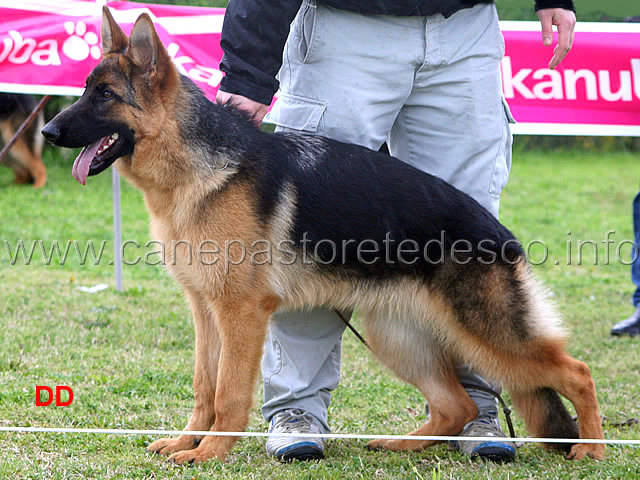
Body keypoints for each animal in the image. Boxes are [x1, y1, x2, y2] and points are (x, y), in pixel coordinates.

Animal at [41, 7, 604, 464]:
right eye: (86, 90)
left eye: (105, 96)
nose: (47, 132)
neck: (196, 168)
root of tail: (499, 232)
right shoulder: (205, 310)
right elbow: (204, 385)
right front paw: (188, 441)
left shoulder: (241, 314)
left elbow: (228, 393)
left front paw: (212, 452)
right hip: (396, 336)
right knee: (457, 403)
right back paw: (403, 444)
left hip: (487, 335)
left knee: (576, 371)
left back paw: (592, 450)